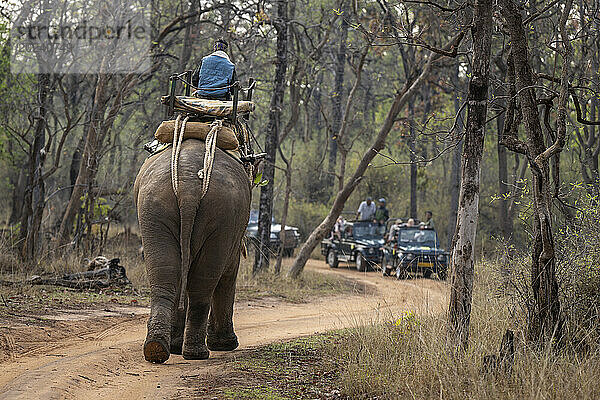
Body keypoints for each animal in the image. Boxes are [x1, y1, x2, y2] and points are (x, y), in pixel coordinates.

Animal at [134, 139, 251, 364]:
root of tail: (189, 186)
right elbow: (228, 273)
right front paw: (224, 345)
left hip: (153, 208)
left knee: (166, 272)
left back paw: (158, 348)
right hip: (222, 215)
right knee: (204, 280)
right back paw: (196, 353)